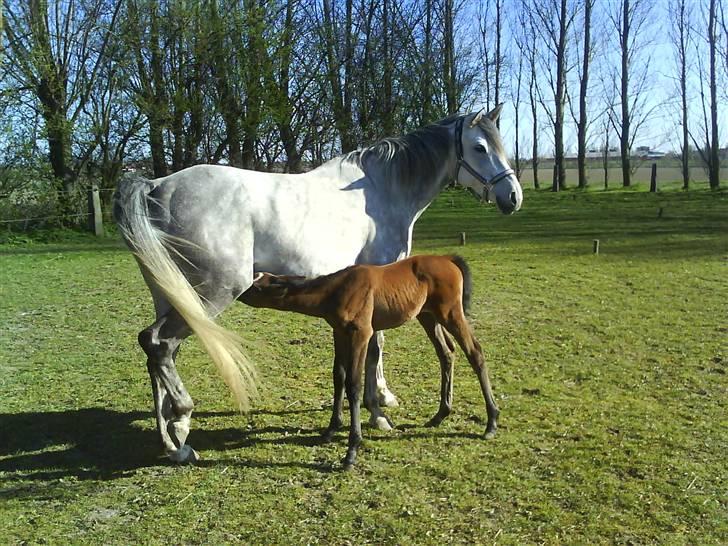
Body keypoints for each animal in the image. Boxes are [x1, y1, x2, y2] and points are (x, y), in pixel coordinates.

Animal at [239, 253, 500, 466]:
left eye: (256, 285)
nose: (237, 289)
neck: (337, 289)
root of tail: (448, 259)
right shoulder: (339, 333)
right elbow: (339, 377)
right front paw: (331, 430)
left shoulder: (361, 333)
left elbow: (354, 384)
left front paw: (351, 450)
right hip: (428, 316)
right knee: (446, 353)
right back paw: (440, 414)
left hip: (451, 313)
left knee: (475, 353)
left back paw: (491, 422)